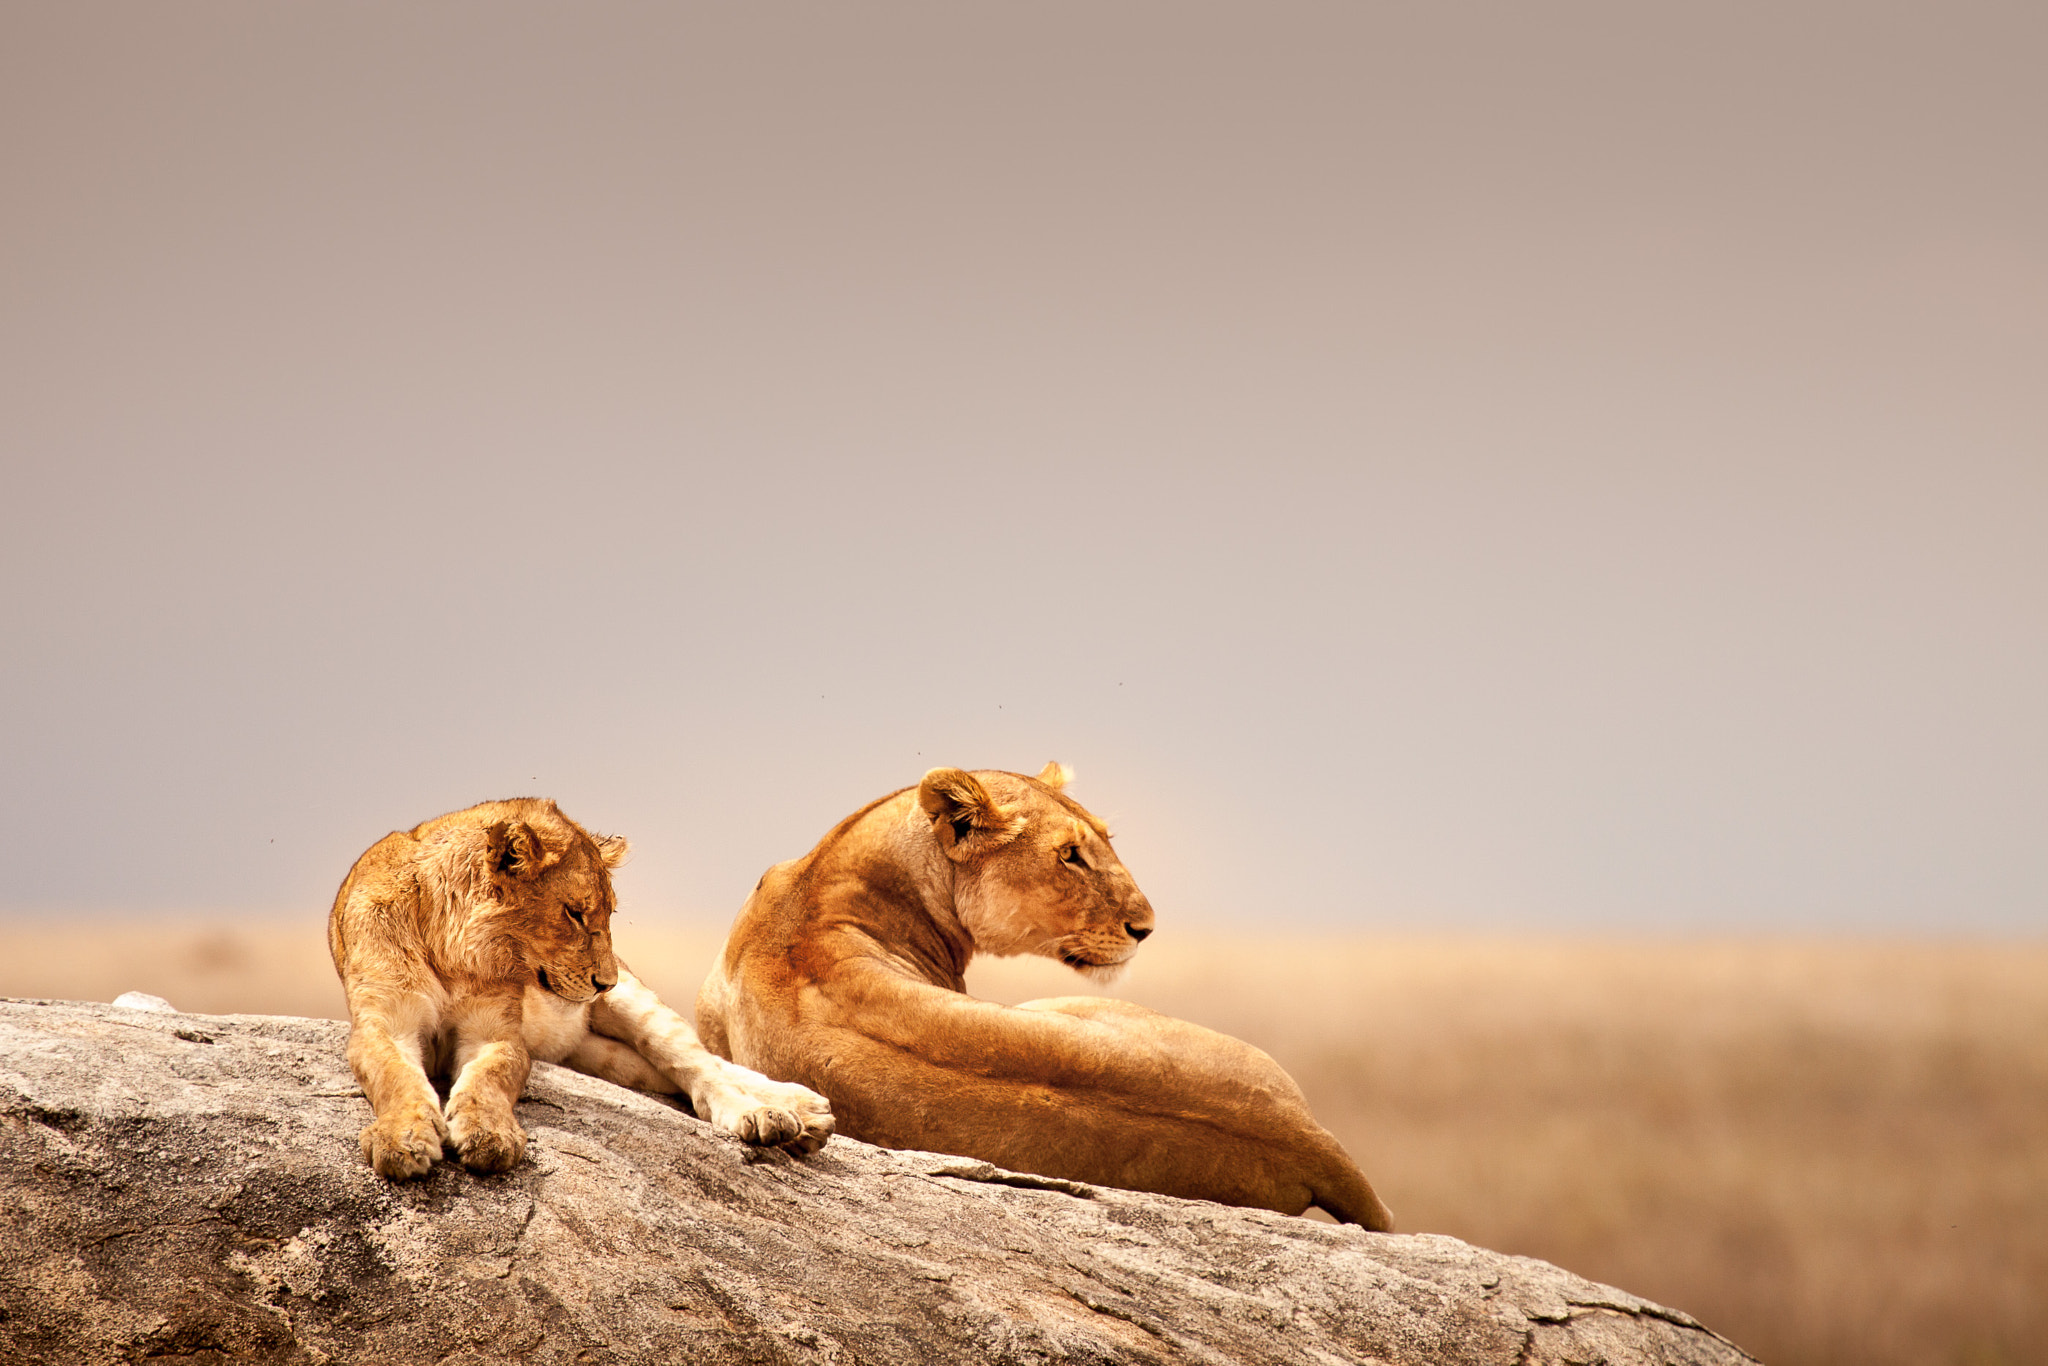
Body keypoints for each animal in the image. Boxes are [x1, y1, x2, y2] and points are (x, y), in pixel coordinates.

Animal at [328, 798, 833, 1179]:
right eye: (574, 913)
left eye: (609, 914)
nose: (604, 983)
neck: (456, 947)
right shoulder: (384, 1025)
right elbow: (394, 1076)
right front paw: (403, 1139)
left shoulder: (496, 1032)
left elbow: (490, 1077)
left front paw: (489, 1134)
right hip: (600, 1057)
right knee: (668, 1072)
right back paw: (803, 1115)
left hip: (638, 1006)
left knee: (702, 1066)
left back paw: (775, 1113)